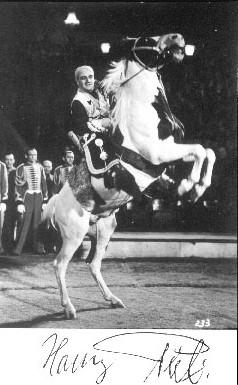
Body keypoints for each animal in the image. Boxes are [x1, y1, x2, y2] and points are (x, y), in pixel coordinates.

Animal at [41, 34, 216, 320]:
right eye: (147, 39)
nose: (178, 39)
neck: (142, 115)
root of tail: (56, 202)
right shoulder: (159, 153)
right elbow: (201, 151)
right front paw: (191, 186)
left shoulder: (168, 156)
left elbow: (206, 152)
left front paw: (192, 187)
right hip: (74, 234)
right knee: (59, 265)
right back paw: (69, 308)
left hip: (105, 227)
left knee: (93, 264)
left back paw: (112, 299)